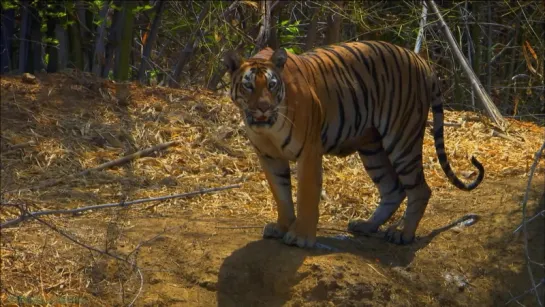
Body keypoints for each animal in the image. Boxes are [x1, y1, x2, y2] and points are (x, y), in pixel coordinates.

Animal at [223, 41, 482, 249]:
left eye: (272, 85)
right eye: (248, 85)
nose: (263, 108)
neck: (268, 128)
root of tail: (420, 59)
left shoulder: (309, 151)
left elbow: (306, 194)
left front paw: (300, 237)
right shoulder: (269, 156)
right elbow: (281, 194)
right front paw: (281, 227)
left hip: (402, 138)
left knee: (420, 188)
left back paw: (402, 234)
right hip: (372, 148)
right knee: (393, 188)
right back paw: (366, 225)